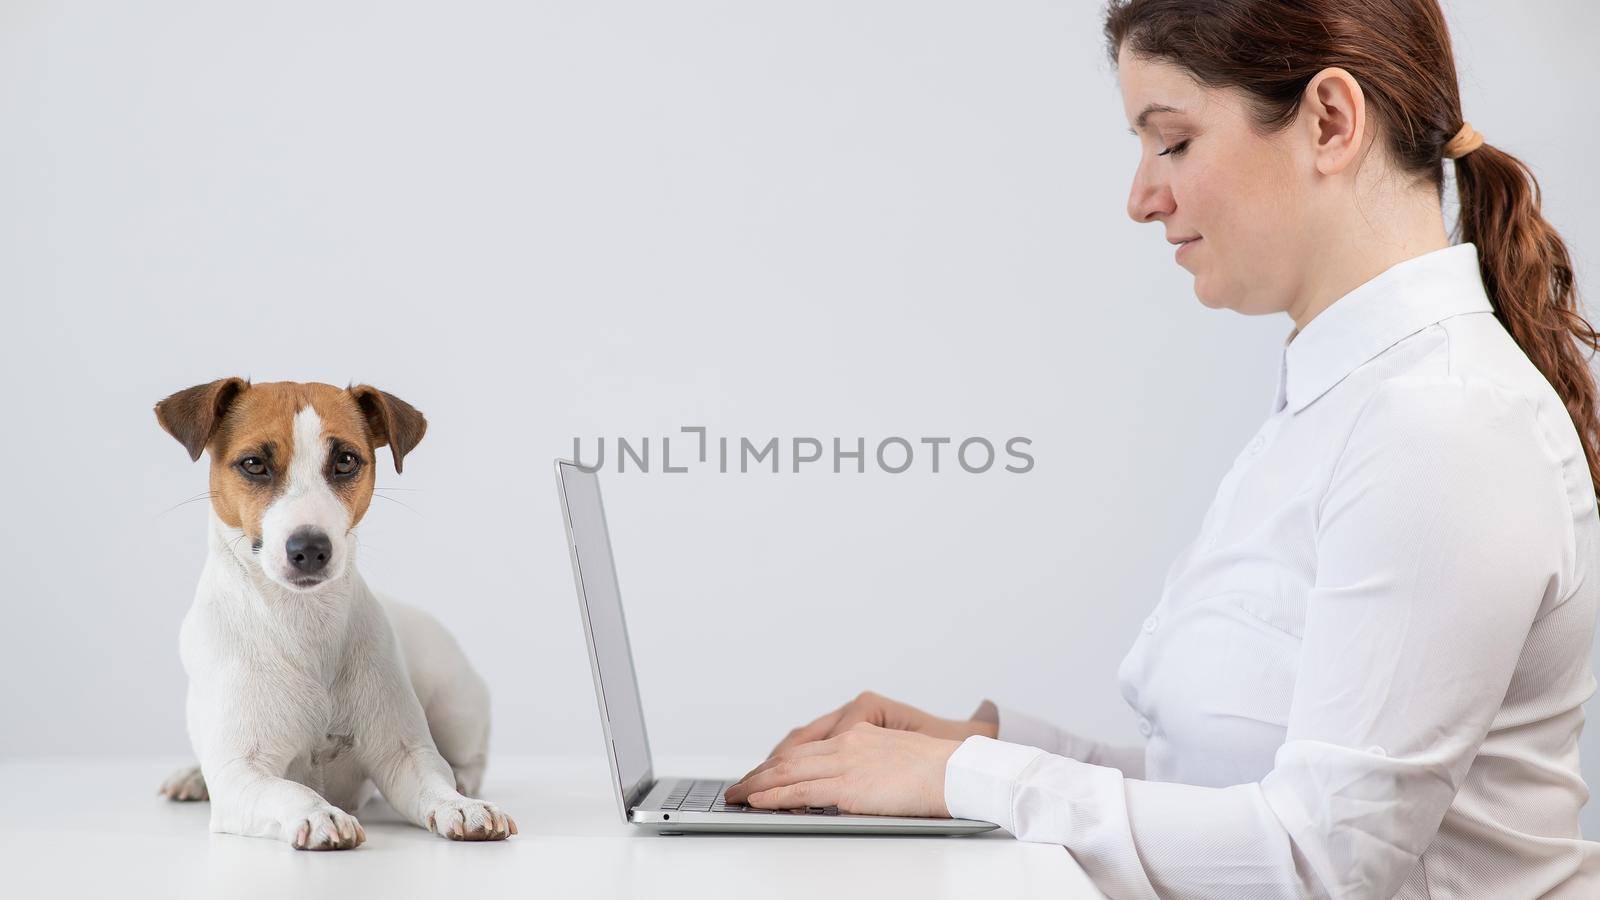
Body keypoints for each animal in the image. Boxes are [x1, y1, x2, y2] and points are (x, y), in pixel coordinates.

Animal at [152, 374, 515, 845]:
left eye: (345, 460)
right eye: (253, 463)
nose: (310, 547)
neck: (303, 622)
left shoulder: (404, 754)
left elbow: (434, 781)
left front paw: (460, 805)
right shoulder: (241, 776)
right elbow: (288, 790)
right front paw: (319, 812)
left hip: (456, 704)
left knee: (469, 757)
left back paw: (467, 783)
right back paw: (192, 777)